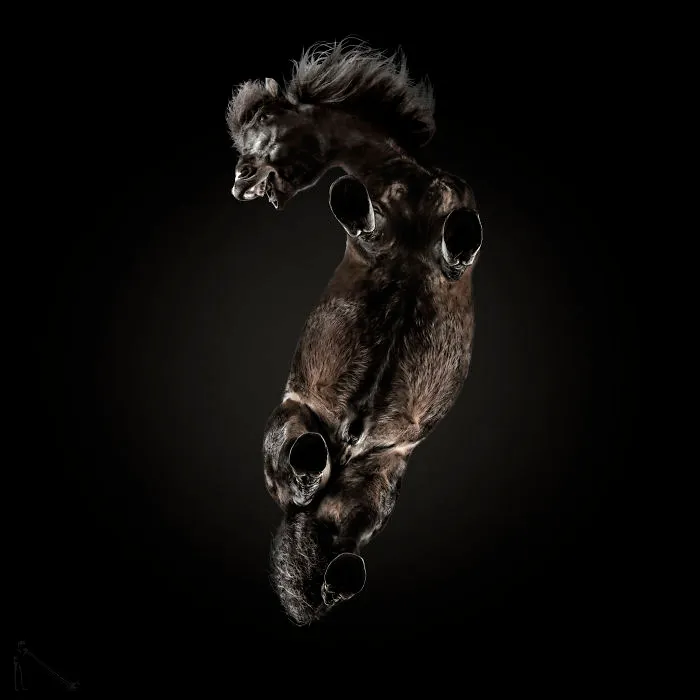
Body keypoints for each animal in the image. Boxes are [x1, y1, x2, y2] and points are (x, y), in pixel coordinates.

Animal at [227, 40, 484, 625]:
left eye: (265, 129)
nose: (239, 184)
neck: (411, 183)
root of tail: (345, 449)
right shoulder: (370, 238)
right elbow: (357, 208)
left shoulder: (455, 235)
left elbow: (459, 241)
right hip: (293, 424)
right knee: (298, 481)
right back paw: (310, 462)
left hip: (376, 485)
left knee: (337, 543)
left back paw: (341, 570)